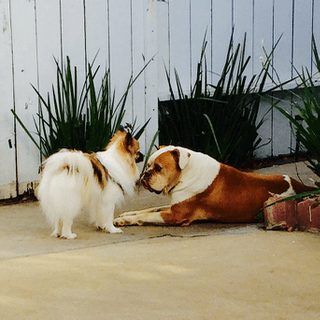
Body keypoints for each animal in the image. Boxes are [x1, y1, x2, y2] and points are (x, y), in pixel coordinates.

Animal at [114, 146, 316, 226]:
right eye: (148, 165)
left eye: (158, 168)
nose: (145, 174)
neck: (186, 173)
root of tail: (300, 186)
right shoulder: (173, 206)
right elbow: (148, 210)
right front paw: (126, 215)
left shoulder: (174, 215)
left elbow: (147, 216)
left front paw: (125, 220)